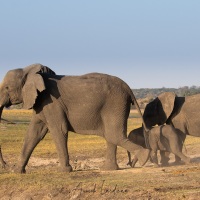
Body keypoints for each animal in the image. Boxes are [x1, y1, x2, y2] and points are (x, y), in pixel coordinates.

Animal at [0, 63, 150, 173]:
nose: (6, 166)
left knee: (114, 134)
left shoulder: (51, 102)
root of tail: (128, 87)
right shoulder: (41, 103)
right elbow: (34, 133)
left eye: (7, 88)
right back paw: (109, 169)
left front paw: (64, 171)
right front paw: (18, 172)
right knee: (111, 135)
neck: (29, 71)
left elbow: (59, 129)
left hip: (115, 103)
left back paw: (144, 157)